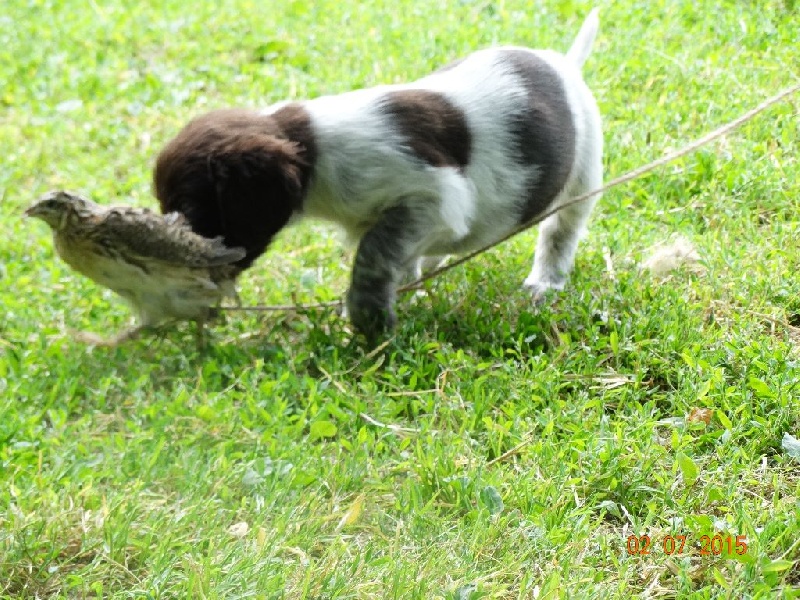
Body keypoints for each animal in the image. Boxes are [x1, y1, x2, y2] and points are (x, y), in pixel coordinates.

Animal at [153, 8, 600, 338]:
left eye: (190, 207)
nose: (176, 276)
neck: (313, 148)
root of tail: (565, 65)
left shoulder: (431, 197)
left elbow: (373, 254)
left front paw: (369, 321)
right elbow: (397, 257)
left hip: (584, 176)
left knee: (560, 233)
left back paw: (545, 282)